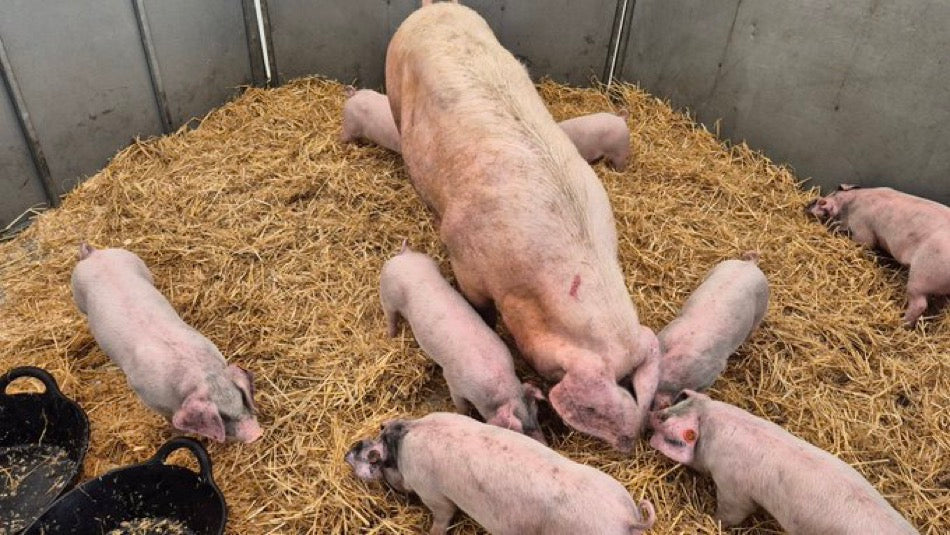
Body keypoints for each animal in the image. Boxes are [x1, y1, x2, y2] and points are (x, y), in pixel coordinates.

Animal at [70, 244, 262, 443]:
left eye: (241, 398)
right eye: (222, 416)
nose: (257, 434)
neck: (202, 375)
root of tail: (93, 254)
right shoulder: (149, 398)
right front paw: (176, 433)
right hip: (78, 296)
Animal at [346, 412, 656, 535]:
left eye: (378, 465)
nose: (347, 453)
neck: (404, 442)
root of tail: (626, 518)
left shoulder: (433, 493)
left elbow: (442, 518)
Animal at [379, 243, 546, 443]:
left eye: (536, 416)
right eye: (518, 431)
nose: (546, 444)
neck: (500, 388)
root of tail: (403, 257)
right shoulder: (453, 382)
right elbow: (461, 406)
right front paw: (465, 414)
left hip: (428, 263)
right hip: (387, 295)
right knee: (389, 315)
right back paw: (391, 336)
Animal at [649, 390, 918, 534]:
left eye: (666, 424)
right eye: (675, 405)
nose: (653, 413)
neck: (711, 423)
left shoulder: (733, 487)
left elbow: (732, 513)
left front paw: (711, 520)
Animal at [807, 184, 950, 327]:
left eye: (823, 202)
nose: (809, 205)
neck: (851, 202)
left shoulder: (861, 226)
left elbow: (866, 241)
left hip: (921, 277)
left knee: (919, 304)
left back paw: (902, 322)